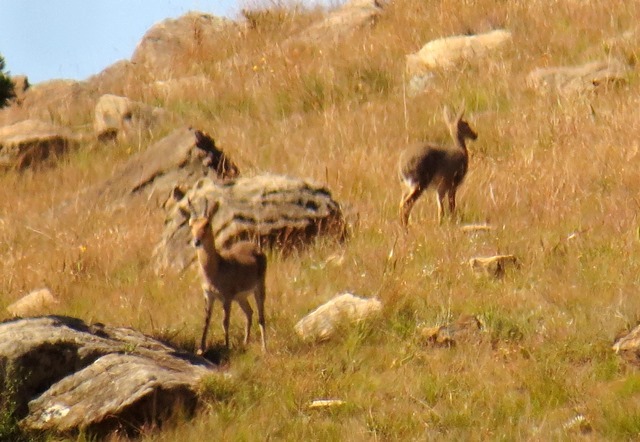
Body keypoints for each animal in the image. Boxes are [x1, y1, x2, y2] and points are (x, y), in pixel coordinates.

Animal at [186, 199, 266, 354]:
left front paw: (226, 347)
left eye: (207, 223)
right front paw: (201, 349)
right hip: (241, 297)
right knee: (249, 312)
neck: (216, 268)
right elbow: (206, 320)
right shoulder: (208, 295)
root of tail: (256, 247)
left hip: (259, 288)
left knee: (261, 316)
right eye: (191, 224)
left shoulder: (226, 297)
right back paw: (245, 343)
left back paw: (265, 348)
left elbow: (225, 321)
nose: (196, 241)